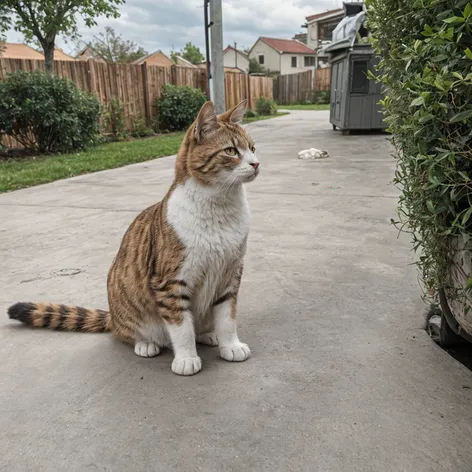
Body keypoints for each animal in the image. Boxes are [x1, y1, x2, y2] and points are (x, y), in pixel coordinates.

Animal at [6, 99, 258, 376]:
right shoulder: (170, 282)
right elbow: (181, 327)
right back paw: (146, 343)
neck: (220, 208)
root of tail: (112, 316)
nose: (256, 163)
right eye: (231, 151)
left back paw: (207, 334)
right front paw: (186, 358)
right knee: (126, 332)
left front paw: (230, 345)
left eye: (252, 148)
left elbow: (227, 318)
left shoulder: (230, 273)